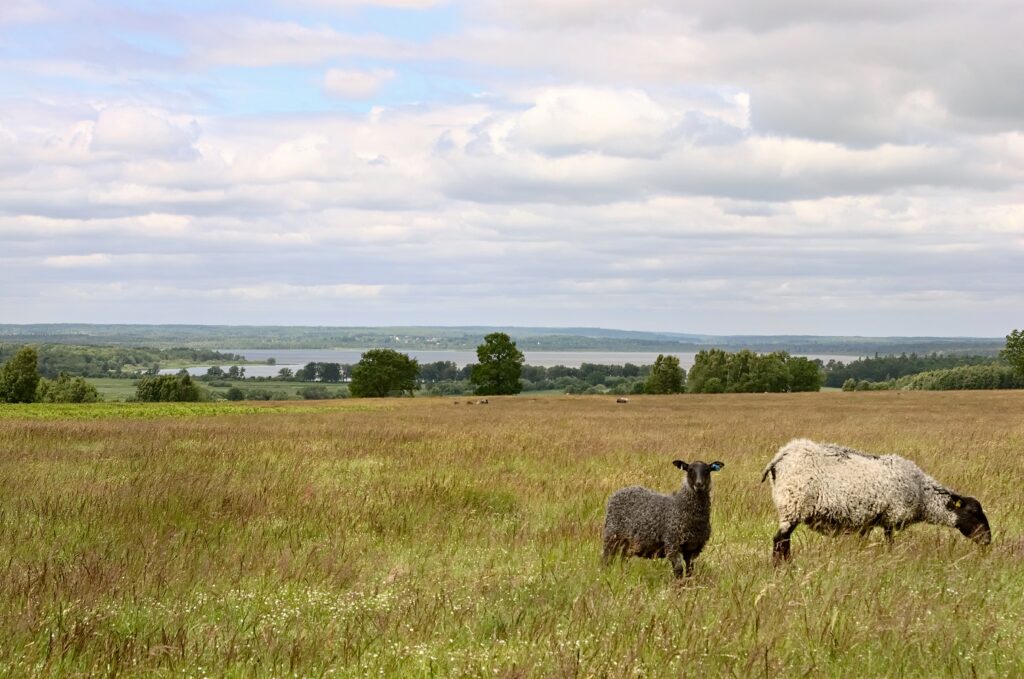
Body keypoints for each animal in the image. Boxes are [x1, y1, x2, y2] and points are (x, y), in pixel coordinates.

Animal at [761, 440, 991, 561]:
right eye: (972, 512)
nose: (988, 540)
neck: (922, 494)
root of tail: (781, 455)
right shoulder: (891, 516)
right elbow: (889, 542)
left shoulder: (870, 519)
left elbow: (863, 541)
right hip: (793, 503)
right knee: (780, 540)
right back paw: (784, 567)